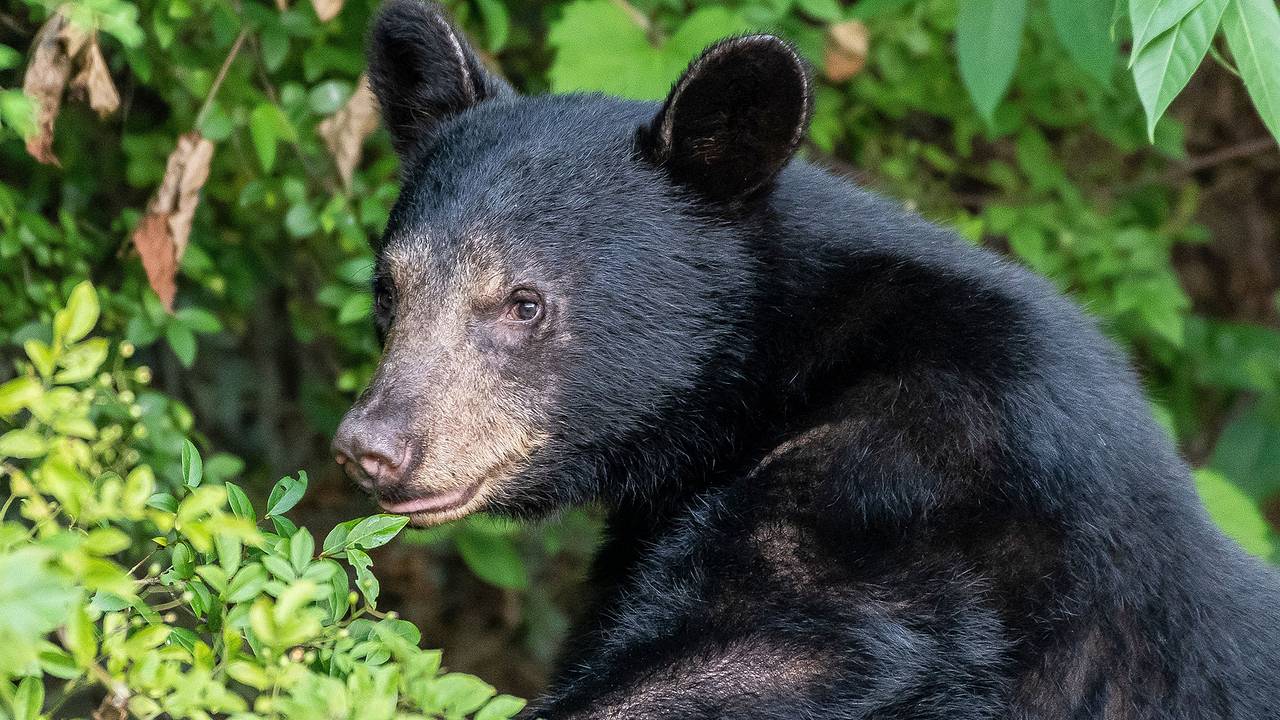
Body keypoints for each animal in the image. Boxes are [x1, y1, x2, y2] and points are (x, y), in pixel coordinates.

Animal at [331, 1, 1280, 717]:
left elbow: (771, 645)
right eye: (389, 289)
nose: (372, 446)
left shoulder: (920, 471)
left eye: (523, 302)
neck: (767, 375)